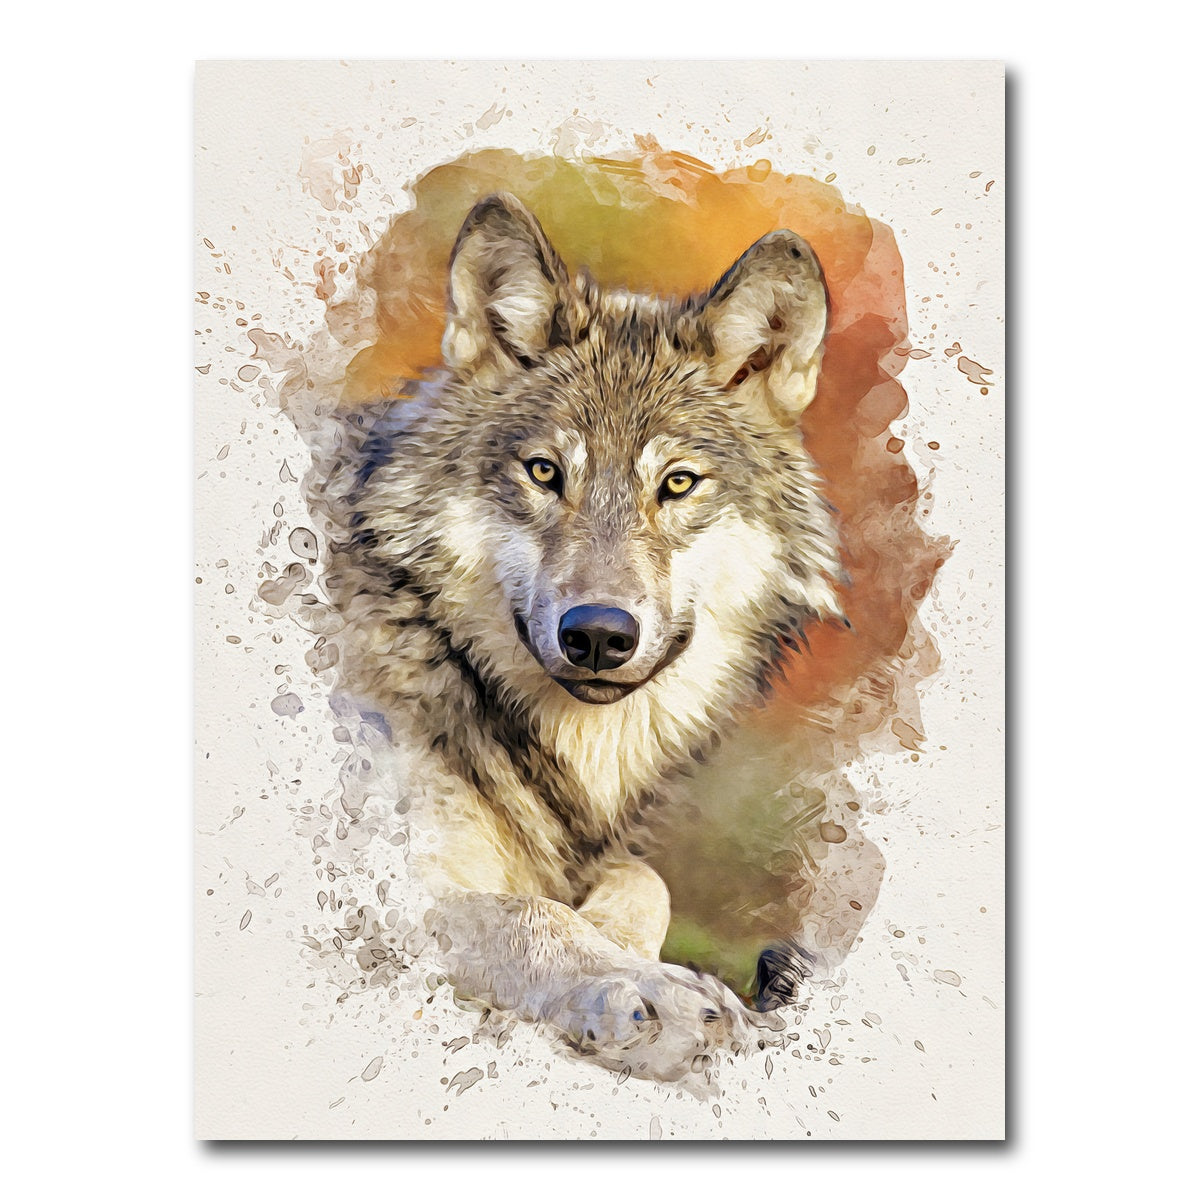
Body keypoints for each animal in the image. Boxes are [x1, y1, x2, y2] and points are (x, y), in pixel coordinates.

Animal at [308, 193, 846, 1081]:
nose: (597, 635)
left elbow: (642, 881)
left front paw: (638, 958)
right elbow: (532, 914)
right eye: (544, 473)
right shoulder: (377, 878)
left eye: (677, 484)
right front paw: (651, 993)